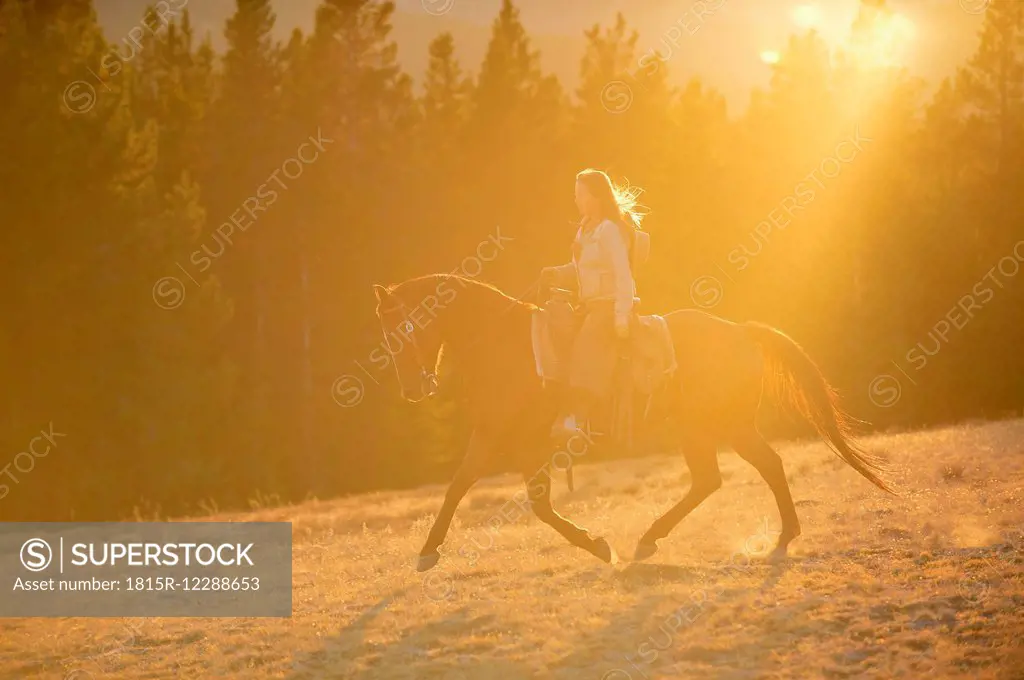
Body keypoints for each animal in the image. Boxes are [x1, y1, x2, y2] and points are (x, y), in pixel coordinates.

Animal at [372, 270, 892, 569]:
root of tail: (742, 332)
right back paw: (653, 540)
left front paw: (598, 546)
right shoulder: (498, 439)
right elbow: (466, 487)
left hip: (722, 428)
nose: (413, 389)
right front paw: (429, 549)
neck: (505, 347)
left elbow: (525, 502)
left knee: (762, 467)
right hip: (703, 431)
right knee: (713, 479)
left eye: (404, 327)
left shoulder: (520, 441)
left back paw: (778, 538)